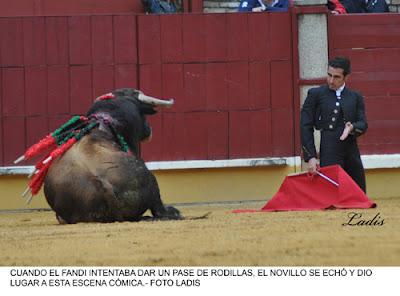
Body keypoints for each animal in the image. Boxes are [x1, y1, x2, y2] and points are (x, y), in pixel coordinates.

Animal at [21, 89, 180, 223]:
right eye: (143, 114)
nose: (149, 129)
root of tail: (103, 186)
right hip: (149, 178)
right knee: (159, 210)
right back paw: (172, 212)